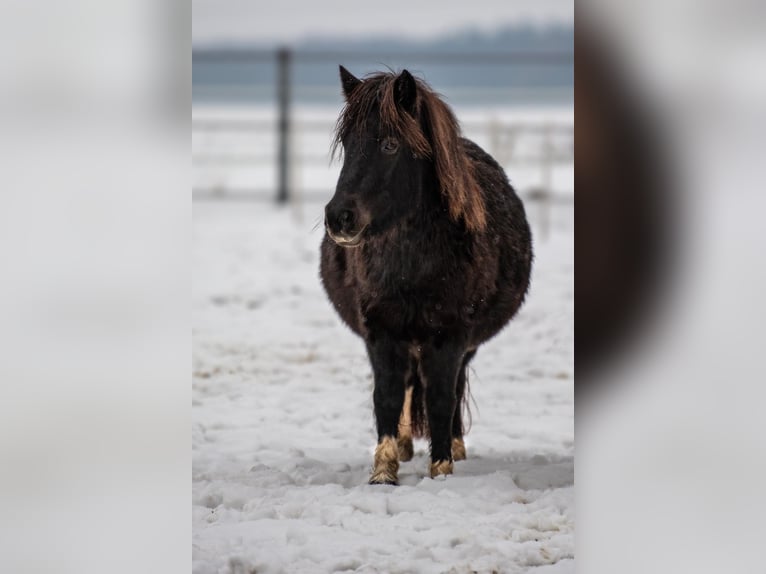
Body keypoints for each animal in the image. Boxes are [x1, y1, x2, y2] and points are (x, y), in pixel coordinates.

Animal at [320, 68, 532, 486]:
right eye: (348, 144)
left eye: (390, 144)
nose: (339, 217)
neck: (413, 268)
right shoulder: (381, 333)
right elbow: (386, 395)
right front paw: (383, 471)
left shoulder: (450, 336)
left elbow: (440, 398)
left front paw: (441, 468)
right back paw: (404, 446)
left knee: (454, 387)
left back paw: (456, 445)